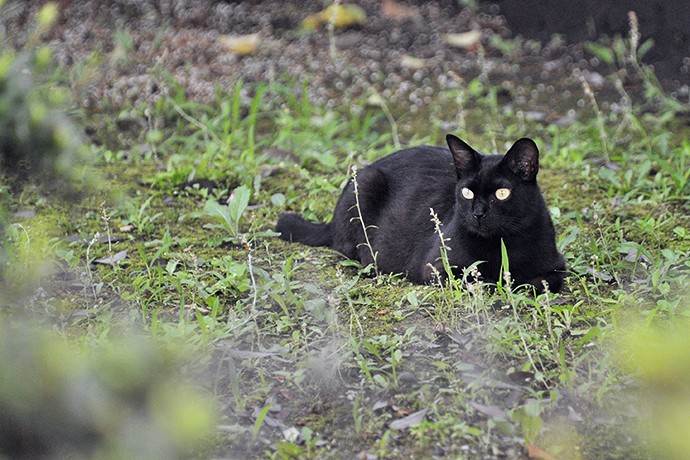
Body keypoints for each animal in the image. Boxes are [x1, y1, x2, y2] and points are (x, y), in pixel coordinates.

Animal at [274, 135, 564, 292]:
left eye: (502, 193)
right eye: (467, 192)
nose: (478, 213)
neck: (504, 244)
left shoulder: (557, 266)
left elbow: (543, 281)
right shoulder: (439, 269)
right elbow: (487, 281)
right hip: (365, 183)